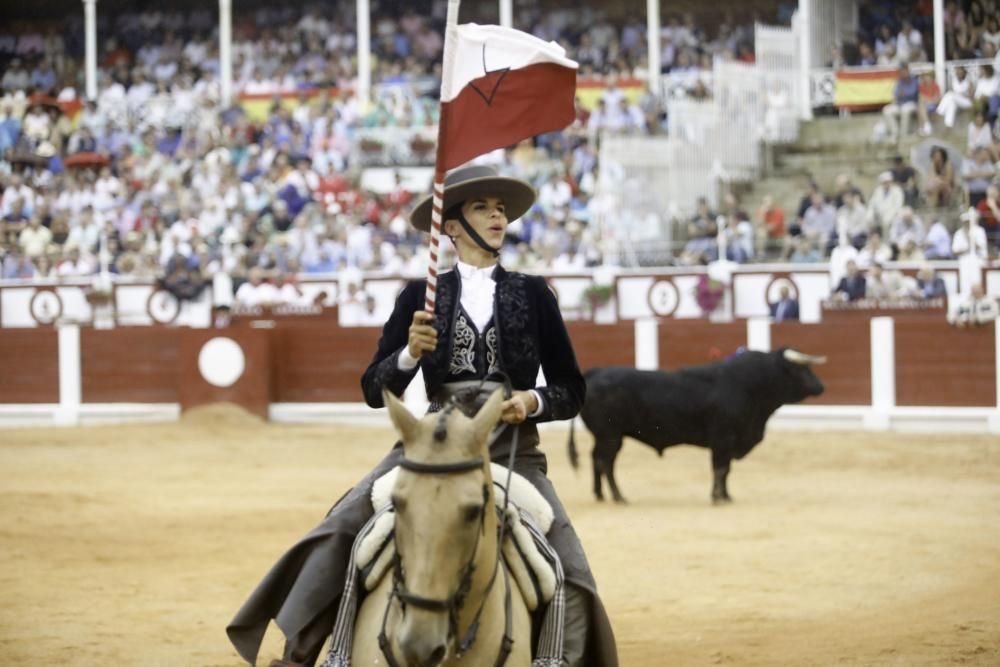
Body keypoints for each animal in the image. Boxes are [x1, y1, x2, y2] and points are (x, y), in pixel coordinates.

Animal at [568, 348, 824, 504]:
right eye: (802, 369)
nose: (821, 387)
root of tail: (594, 373)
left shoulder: (726, 442)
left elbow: (726, 470)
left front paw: (726, 496)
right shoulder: (723, 439)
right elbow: (720, 468)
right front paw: (718, 498)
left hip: (605, 437)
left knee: (596, 460)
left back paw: (600, 495)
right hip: (611, 437)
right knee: (606, 463)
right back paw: (619, 497)